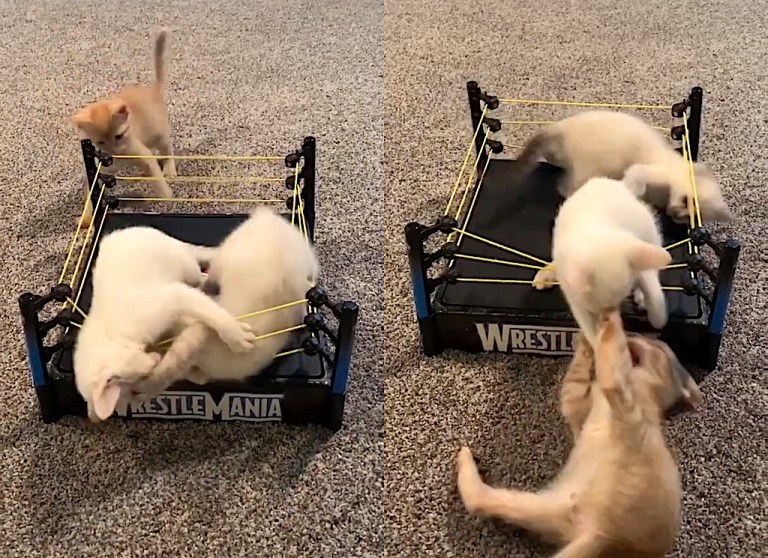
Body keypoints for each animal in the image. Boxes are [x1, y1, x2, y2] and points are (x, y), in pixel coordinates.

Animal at [76, 225, 260, 422]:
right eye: (137, 380)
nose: (155, 360)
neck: (112, 333)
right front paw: (196, 373)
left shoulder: (173, 297)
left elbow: (212, 313)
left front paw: (236, 336)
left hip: (186, 266)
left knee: (201, 275)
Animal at [456, 316, 704, 558]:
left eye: (657, 345)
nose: (636, 333)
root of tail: (602, 533)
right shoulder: (578, 410)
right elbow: (576, 377)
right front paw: (584, 340)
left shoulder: (618, 396)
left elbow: (609, 368)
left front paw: (604, 330)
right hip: (538, 506)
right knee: (479, 500)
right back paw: (464, 457)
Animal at [516, 109, 732, 223]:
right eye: (687, 200)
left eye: (689, 219)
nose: (676, 214)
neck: (662, 196)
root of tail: (559, 127)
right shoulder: (641, 171)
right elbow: (632, 184)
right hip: (590, 169)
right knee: (566, 188)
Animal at [536, 177, 672, 348]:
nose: (607, 320)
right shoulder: (574, 298)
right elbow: (588, 328)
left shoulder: (634, 249)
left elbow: (652, 289)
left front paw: (658, 320)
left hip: (651, 234)